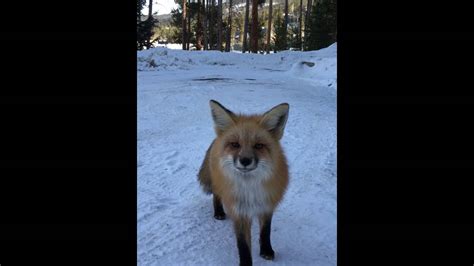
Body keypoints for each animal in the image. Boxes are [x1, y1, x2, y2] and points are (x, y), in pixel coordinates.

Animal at [196, 100, 288, 266]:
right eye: (235, 144)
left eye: (259, 145)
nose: (245, 160)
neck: (249, 189)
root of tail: (216, 138)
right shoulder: (239, 211)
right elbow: (243, 244)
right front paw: (245, 262)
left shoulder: (267, 204)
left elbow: (265, 231)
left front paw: (266, 250)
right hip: (217, 183)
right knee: (216, 195)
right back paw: (218, 212)